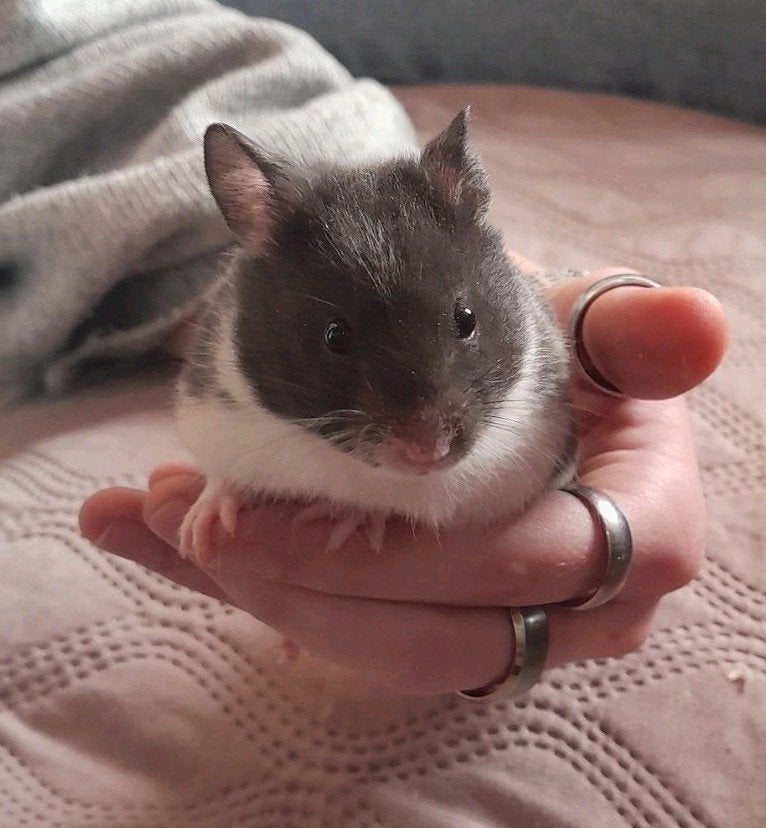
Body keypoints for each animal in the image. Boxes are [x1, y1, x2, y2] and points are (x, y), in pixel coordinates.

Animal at [175, 110, 573, 561]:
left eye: (467, 319)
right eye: (334, 335)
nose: (427, 453)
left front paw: (341, 522)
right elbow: (221, 479)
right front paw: (198, 537)